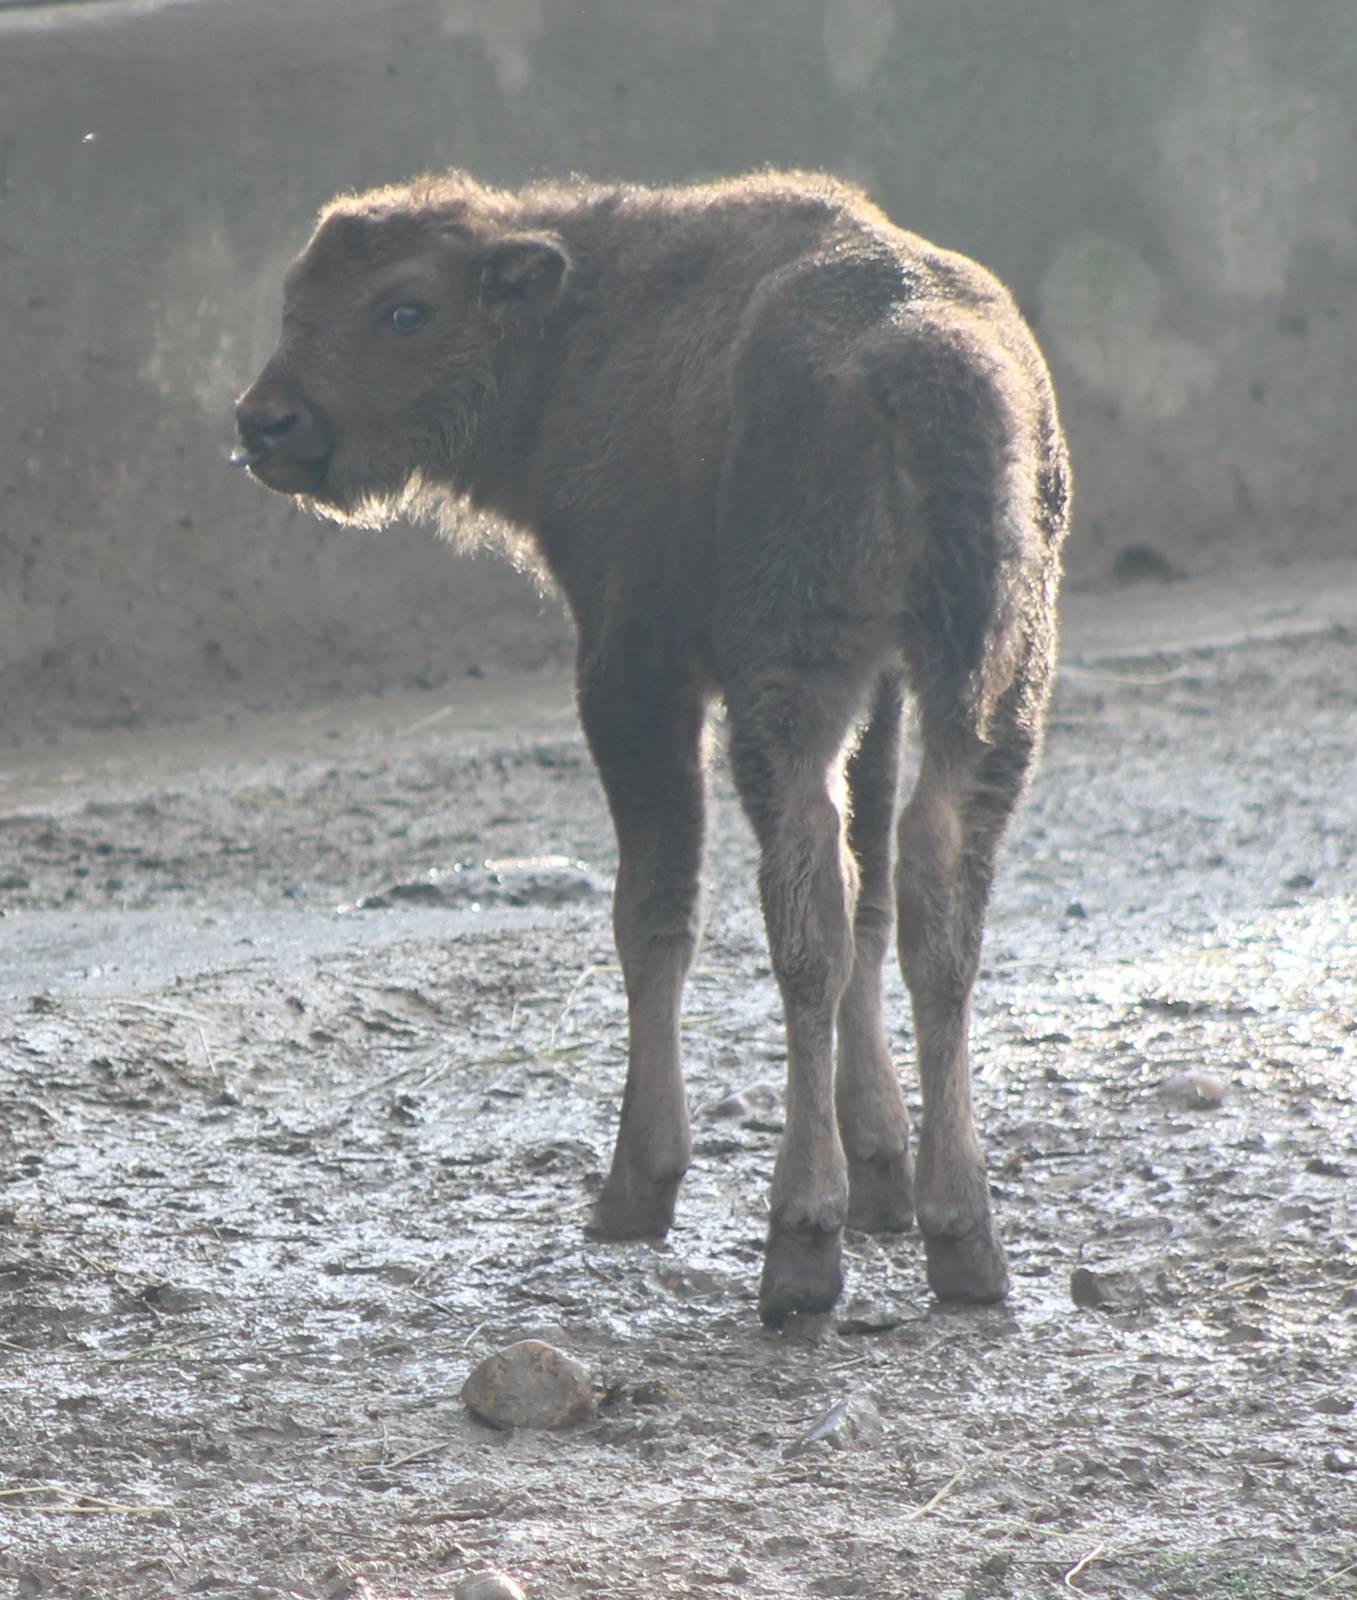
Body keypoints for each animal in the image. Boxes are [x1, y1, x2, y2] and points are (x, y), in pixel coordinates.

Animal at [232, 170, 1071, 1327]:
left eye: (405, 308)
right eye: (294, 300)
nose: (265, 422)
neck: (584, 322)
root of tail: (924, 360)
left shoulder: (633, 668)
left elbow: (655, 914)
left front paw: (636, 1186)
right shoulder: (884, 686)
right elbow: (873, 904)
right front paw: (883, 1180)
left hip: (787, 678)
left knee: (803, 903)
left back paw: (799, 1248)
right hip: (989, 682)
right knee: (931, 895)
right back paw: (964, 1242)